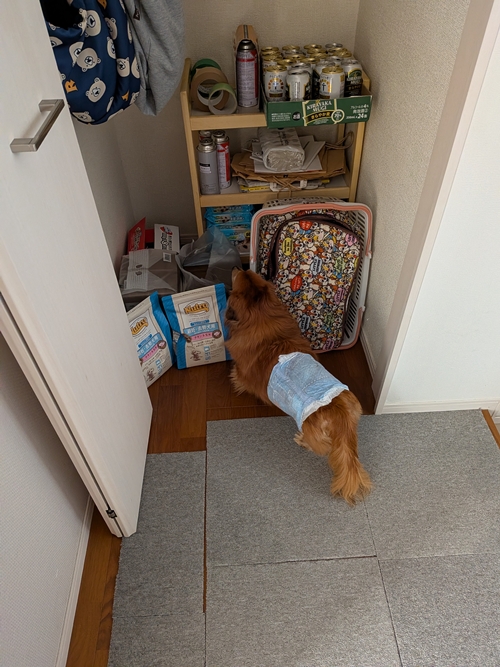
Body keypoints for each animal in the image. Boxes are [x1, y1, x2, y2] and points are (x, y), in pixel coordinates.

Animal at [225, 268, 371, 504]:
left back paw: (302, 441)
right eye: (247, 273)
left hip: (311, 431)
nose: (238, 267)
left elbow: (239, 377)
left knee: (322, 447)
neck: (261, 319)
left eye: (239, 277)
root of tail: (338, 410)